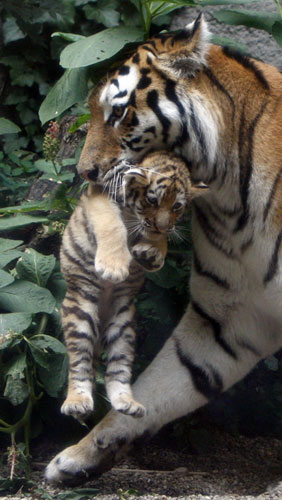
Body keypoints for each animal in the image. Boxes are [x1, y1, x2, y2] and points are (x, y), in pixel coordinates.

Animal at [46, 15, 282, 484]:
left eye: (118, 112)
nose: (84, 172)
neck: (232, 196)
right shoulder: (228, 316)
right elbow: (164, 384)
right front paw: (79, 456)